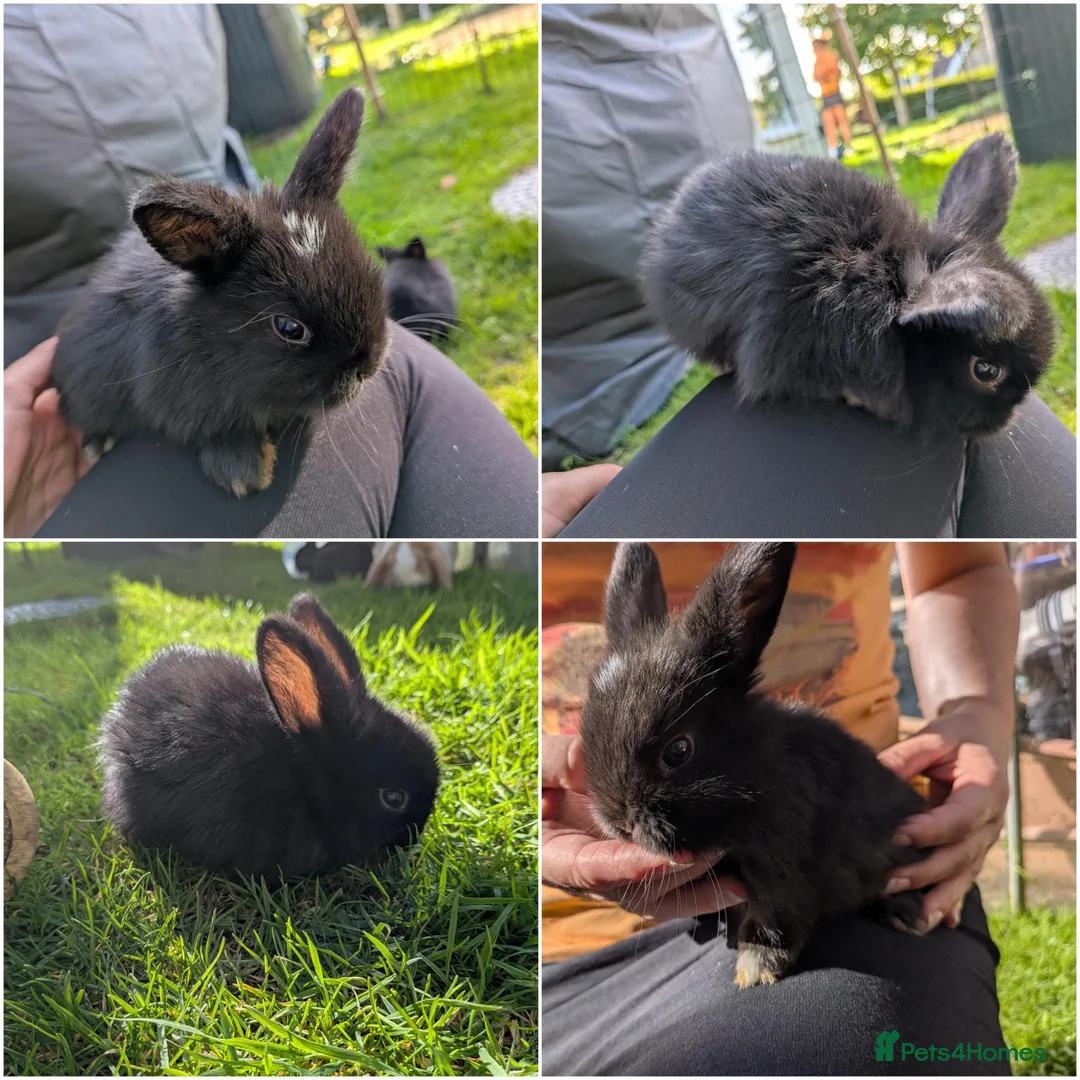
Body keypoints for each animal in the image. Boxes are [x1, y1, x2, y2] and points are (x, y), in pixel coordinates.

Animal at [51, 88, 389, 497]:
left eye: (369, 270)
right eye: (289, 328)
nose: (367, 366)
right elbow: (215, 432)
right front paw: (246, 473)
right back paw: (98, 444)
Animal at [580, 542, 932, 989]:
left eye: (677, 751)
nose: (620, 822)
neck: (752, 772)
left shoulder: (780, 866)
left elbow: (775, 918)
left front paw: (754, 970)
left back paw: (906, 916)